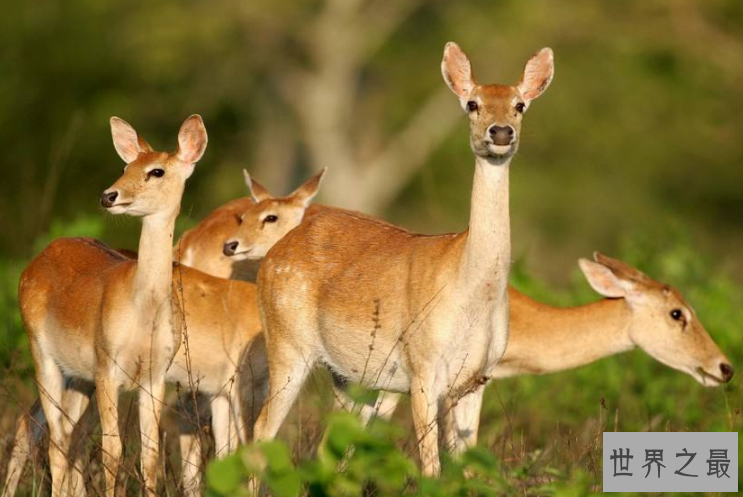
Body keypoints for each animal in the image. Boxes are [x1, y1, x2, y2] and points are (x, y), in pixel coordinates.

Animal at [18, 114, 208, 494]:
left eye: (156, 171)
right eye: (125, 165)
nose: (109, 196)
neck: (142, 312)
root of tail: (32, 265)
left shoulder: (155, 375)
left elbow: (149, 455)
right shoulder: (106, 365)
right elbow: (112, 450)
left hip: (77, 377)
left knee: (55, 433)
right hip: (42, 353)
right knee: (55, 439)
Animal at [253, 41, 556, 472]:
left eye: (519, 105)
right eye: (472, 103)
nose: (500, 132)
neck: (470, 292)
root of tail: (272, 257)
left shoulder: (477, 379)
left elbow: (467, 468)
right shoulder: (422, 367)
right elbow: (432, 465)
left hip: (349, 376)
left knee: (330, 448)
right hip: (287, 344)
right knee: (262, 431)